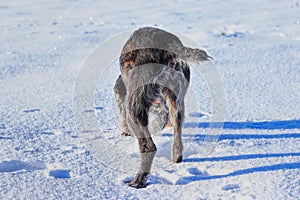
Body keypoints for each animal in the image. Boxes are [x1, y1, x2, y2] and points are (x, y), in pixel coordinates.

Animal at [113, 26, 212, 188]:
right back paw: (175, 158)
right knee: (177, 143)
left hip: (135, 109)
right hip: (177, 104)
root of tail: (169, 46)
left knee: (149, 147)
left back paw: (137, 181)